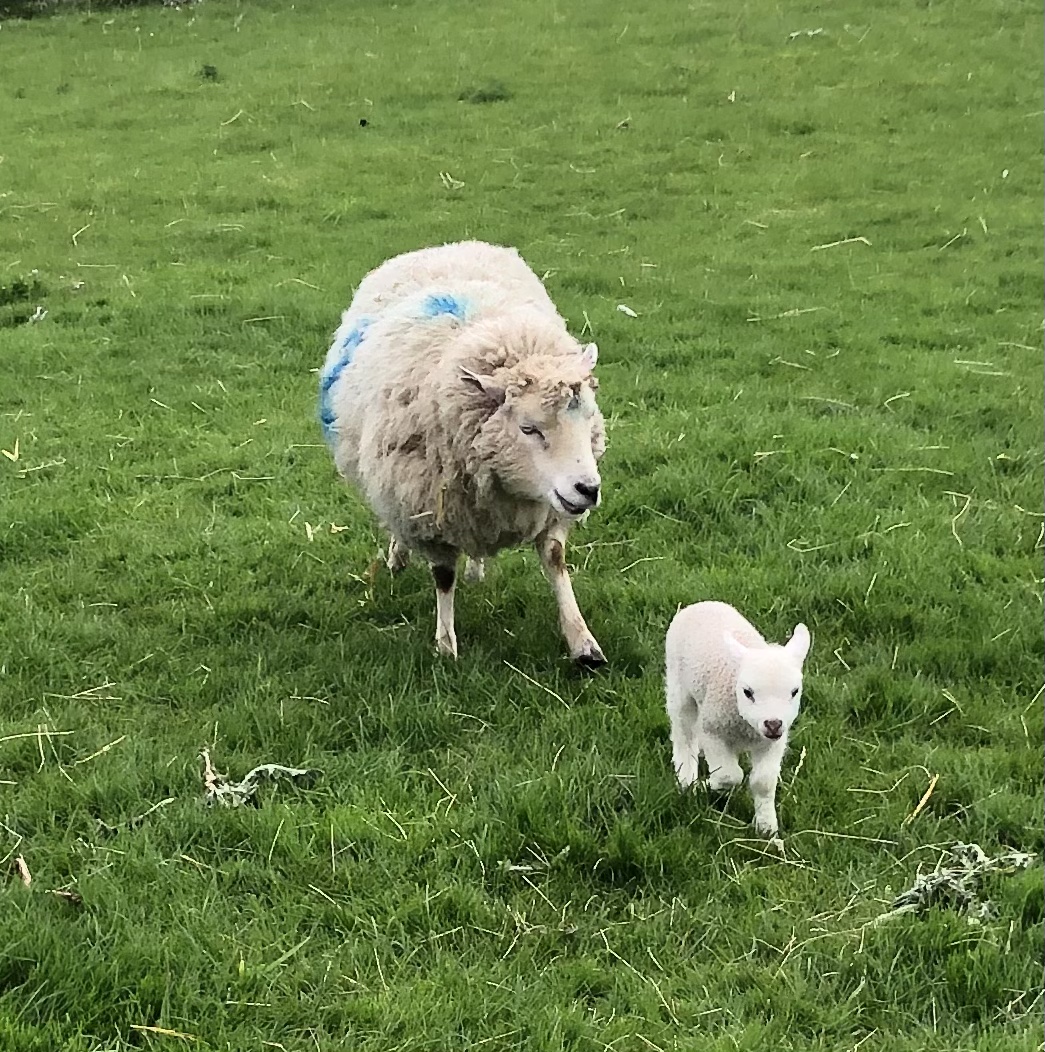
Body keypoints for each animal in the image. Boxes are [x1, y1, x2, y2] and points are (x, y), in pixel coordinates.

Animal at [322, 239, 606, 664]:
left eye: (588, 418)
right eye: (528, 428)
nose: (588, 490)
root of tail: (439, 247)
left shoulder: (546, 509)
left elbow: (555, 560)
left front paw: (582, 642)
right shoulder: (430, 509)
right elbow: (443, 576)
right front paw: (445, 647)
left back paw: (476, 568)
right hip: (396, 487)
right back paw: (398, 557)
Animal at [665, 605, 812, 833]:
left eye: (795, 691)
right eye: (747, 692)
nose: (773, 724)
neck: (748, 728)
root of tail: (703, 604)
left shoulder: (773, 743)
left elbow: (763, 782)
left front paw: (767, 828)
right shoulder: (713, 730)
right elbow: (730, 775)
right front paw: (707, 785)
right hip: (678, 686)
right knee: (684, 734)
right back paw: (687, 781)